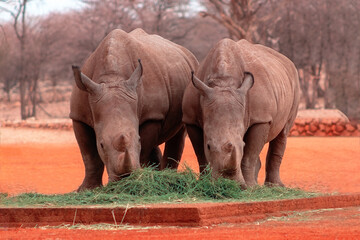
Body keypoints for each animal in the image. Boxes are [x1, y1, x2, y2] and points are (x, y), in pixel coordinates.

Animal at [70, 28, 198, 190]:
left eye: (138, 139)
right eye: (102, 145)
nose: (125, 177)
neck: (112, 78)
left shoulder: (152, 115)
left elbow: (144, 150)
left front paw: (142, 180)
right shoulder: (78, 116)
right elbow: (89, 156)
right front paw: (87, 189)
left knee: (178, 131)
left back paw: (167, 176)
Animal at [181, 39, 300, 188]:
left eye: (242, 145)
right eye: (208, 146)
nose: (227, 182)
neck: (223, 82)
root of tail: (285, 60)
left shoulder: (261, 118)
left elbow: (249, 155)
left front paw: (250, 188)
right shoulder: (190, 119)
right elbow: (200, 155)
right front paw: (204, 183)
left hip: (294, 81)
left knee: (283, 132)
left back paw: (274, 187)